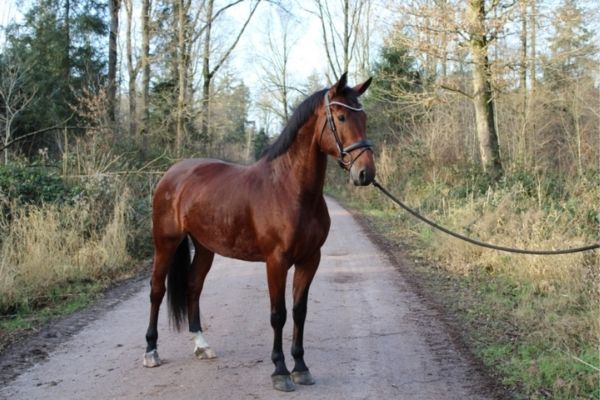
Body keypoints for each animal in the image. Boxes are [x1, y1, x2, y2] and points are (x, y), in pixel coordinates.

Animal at [143, 72, 376, 390]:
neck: (290, 190)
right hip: (165, 242)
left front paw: (301, 367)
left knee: (193, 286)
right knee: (157, 290)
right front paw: (280, 371)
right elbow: (278, 315)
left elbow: (299, 312)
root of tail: (172, 174)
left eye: (363, 116)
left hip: (204, 247)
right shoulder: (275, 262)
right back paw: (151, 351)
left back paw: (202, 346)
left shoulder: (310, 260)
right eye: (340, 117)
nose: (366, 173)